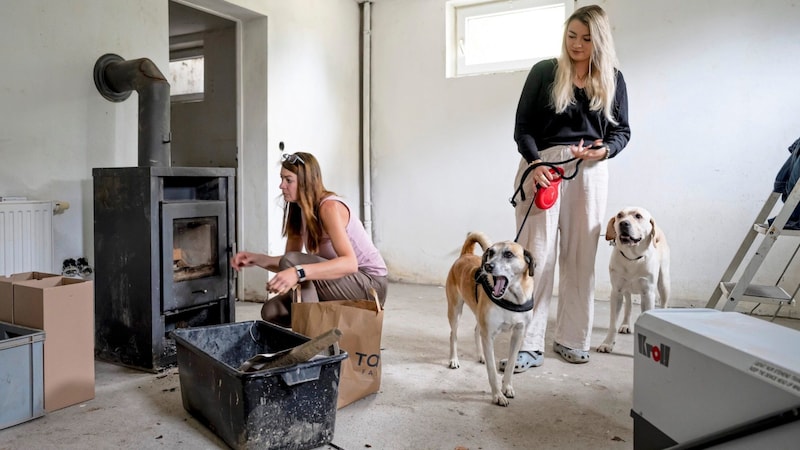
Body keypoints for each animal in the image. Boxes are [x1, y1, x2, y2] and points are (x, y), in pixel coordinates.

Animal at [446, 234, 536, 406]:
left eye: (508, 254)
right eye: (491, 253)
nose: (487, 266)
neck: (512, 298)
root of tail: (465, 254)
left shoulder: (518, 334)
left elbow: (511, 365)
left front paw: (507, 387)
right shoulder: (489, 335)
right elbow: (492, 370)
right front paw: (497, 395)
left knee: (476, 330)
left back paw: (480, 356)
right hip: (455, 310)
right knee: (453, 334)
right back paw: (453, 360)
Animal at [596, 208, 672, 356]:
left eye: (638, 216)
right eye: (619, 215)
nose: (623, 223)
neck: (632, 258)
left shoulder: (648, 293)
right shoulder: (616, 292)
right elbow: (613, 324)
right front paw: (607, 343)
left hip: (664, 283)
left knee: (663, 303)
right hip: (626, 289)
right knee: (629, 305)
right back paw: (625, 324)